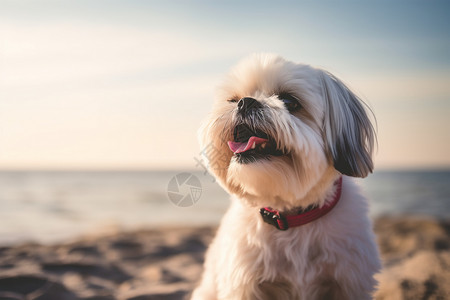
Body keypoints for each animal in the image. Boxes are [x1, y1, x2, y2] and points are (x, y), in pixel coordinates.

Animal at [192, 54, 382, 300]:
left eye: (290, 102)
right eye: (233, 100)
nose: (246, 102)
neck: (291, 217)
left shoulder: (348, 281)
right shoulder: (246, 286)